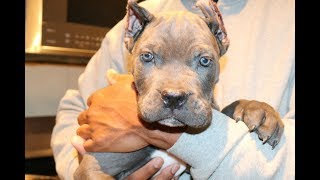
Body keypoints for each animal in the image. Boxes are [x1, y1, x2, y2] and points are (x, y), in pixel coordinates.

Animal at [74, 0, 284, 179]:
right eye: (147, 56)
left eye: (205, 60)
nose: (173, 97)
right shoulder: (94, 168)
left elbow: (229, 106)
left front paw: (260, 112)